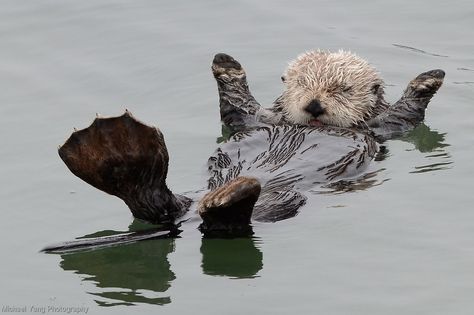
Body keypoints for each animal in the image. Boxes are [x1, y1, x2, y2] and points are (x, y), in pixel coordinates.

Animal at [43, 50, 444, 251]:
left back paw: (230, 195)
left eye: (341, 89)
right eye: (301, 84)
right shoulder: (253, 118)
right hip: (191, 197)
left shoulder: (386, 127)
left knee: (225, 224)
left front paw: (429, 79)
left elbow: (406, 112)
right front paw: (227, 66)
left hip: (281, 202)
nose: (315, 105)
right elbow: (238, 109)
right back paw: (117, 150)